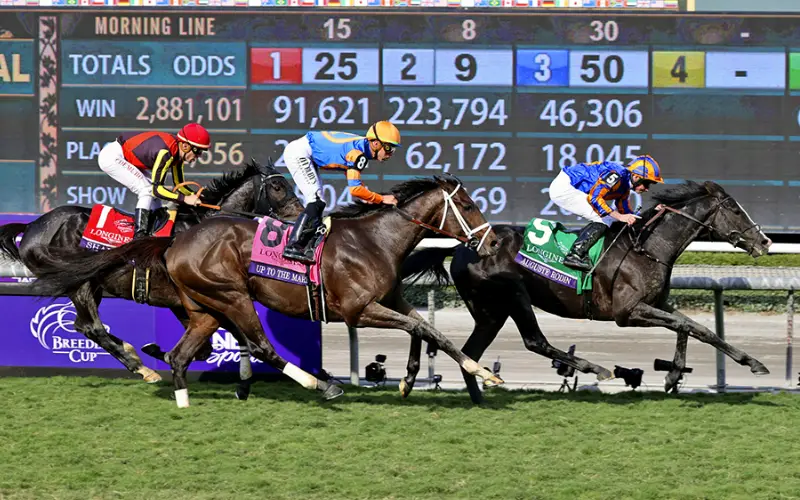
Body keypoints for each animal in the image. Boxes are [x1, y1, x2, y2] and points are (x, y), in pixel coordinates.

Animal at [0, 159, 303, 386]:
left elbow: (213, 344)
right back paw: (143, 369)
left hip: (92, 286)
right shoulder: (186, 299)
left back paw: (133, 353)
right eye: (278, 185)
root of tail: (32, 227)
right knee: (92, 327)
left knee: (83, 326)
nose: (299, 215)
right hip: (79, 284)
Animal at [30, 175, 504, 406]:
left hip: (209, 306)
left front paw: (412, 378)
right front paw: (481, 372)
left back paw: (175, 387)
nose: (493, 243)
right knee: (257, 344)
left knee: (183, 350)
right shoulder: (359, 310)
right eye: (466, 205)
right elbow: (424, 329)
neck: (375, 239)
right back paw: (318, 384)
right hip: (228, 295)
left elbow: (423, 328)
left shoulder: (389, 298)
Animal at [400, 180, 773, 403]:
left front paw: (743, 363)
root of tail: (461, 247)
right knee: (534, 341)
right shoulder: (628, 313)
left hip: (490, 312)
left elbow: (693, 328)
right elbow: (690, 326)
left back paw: (478, 397)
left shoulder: (656, 304)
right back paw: (596, 368)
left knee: (471, 352)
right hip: (512, 294)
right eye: (735, 210)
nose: (765, 241)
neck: (647, 248)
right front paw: (678, 374)